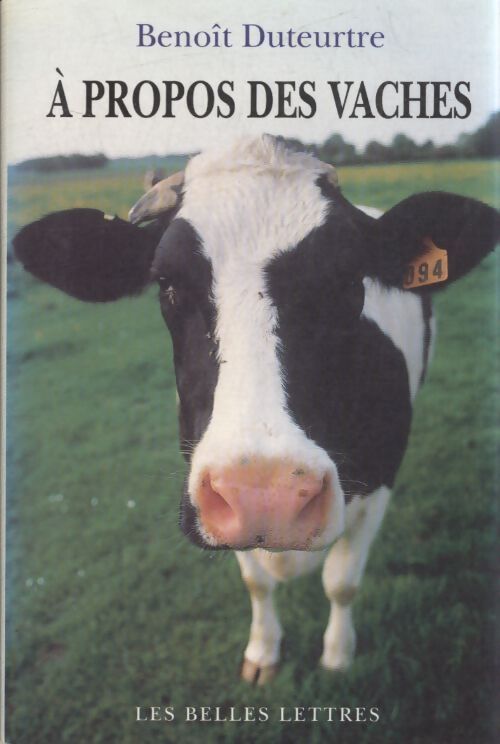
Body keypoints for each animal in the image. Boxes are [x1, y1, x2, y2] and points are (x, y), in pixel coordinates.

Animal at [13, 135, 499, 685]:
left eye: (351, 279)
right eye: (166, 284)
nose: (267, 495)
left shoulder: (381, 479)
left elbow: (342, 582)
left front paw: (337, 656)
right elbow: (257, 583)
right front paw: (263, 651)